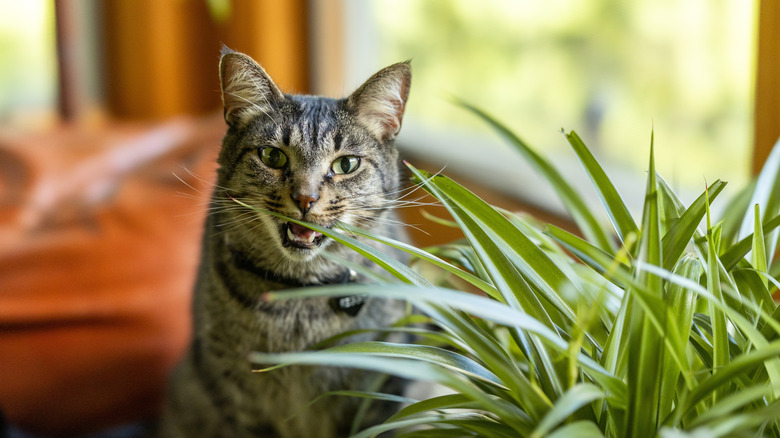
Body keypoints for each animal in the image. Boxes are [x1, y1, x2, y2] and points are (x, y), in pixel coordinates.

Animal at [159, 46, 414, 436]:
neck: (299, 299)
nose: (306, 198)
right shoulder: (234, 396)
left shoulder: (382, 384)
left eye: (346, 164)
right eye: (272, 156)